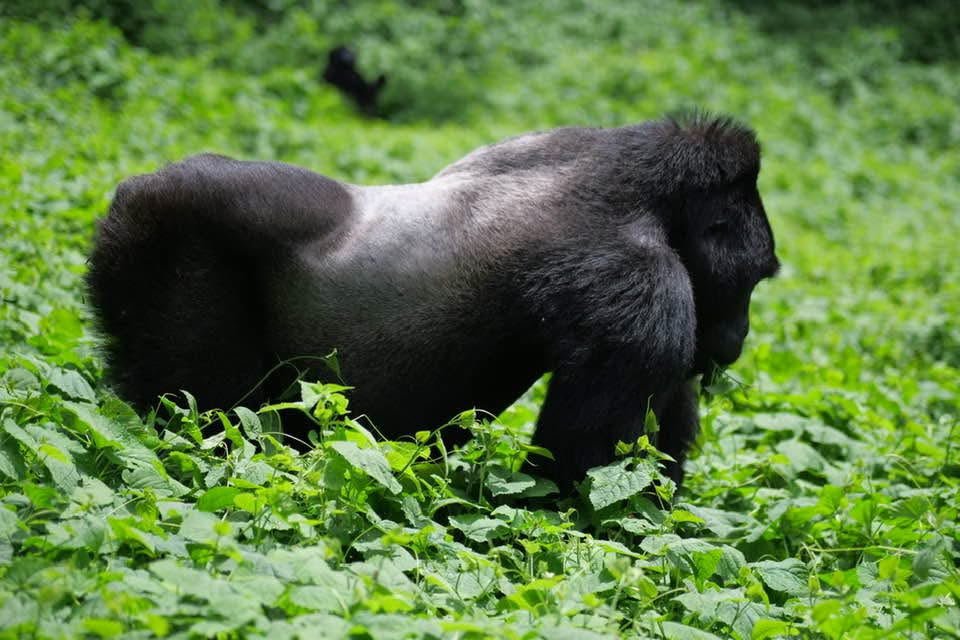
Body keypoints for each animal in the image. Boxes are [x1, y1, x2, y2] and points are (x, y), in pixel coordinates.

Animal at [87, 113, 779, 489]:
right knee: (207, 410)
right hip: (160, 235)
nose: (739, 336)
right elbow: (585, 471)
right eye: (753, 279)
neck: (652, 191)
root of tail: (134, 189)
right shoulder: (643, 289)